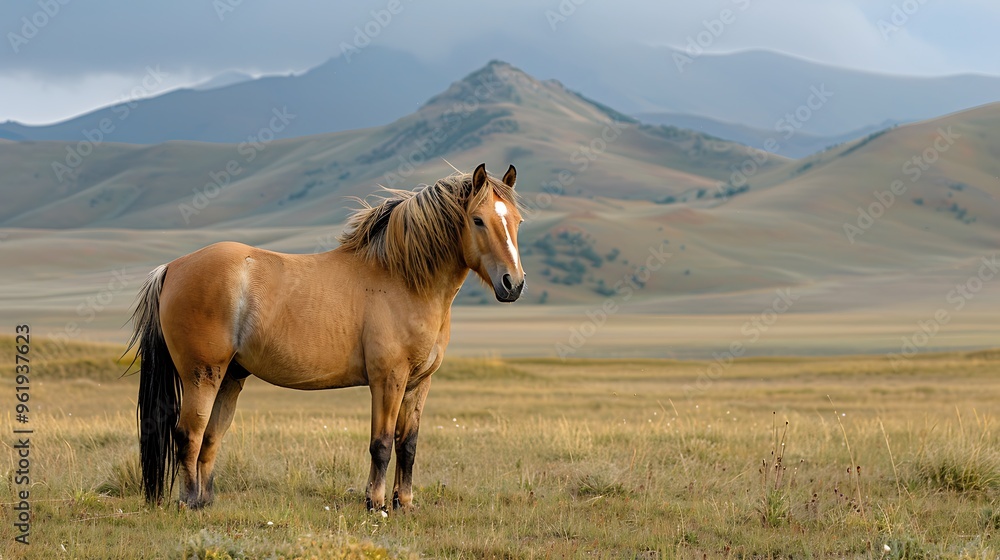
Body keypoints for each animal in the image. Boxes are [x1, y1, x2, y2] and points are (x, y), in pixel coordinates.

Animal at [127, 163, 524, 511]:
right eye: (478, 220)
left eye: (517, 221)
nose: (514, 284)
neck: (403, 279)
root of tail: (172, 267)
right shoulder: (388, 379)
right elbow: (381, 444)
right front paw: (376, 504)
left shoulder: (418, 383)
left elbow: (407, 445)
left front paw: (405, 503)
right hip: (202, 375)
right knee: (188, 434)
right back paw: (189, 502)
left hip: (230, 376)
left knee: (211, 436)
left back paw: (206, 501)